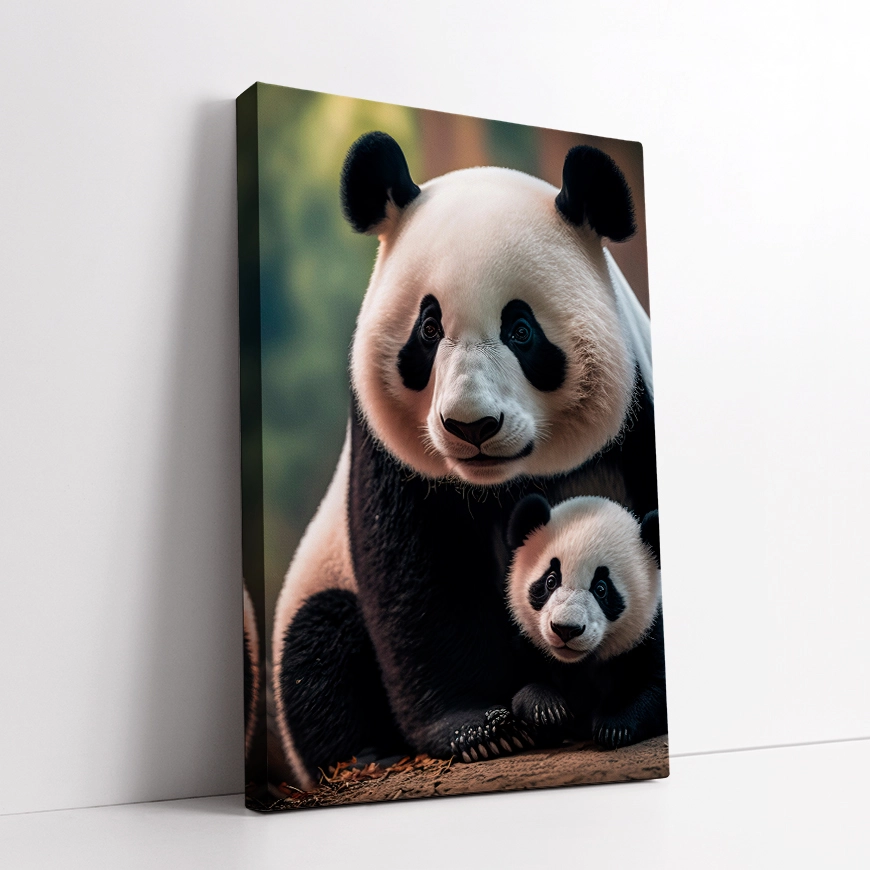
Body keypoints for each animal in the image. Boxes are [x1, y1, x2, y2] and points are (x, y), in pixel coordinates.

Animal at [506, 493, 666, 750]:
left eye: (601, 589)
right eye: (551, 581)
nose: (565, 629)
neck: (576, 662)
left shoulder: (650, 634)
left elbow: (655, 689)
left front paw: (614, 726)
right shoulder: (526, 640)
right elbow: (518, 683)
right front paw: (547, 709)